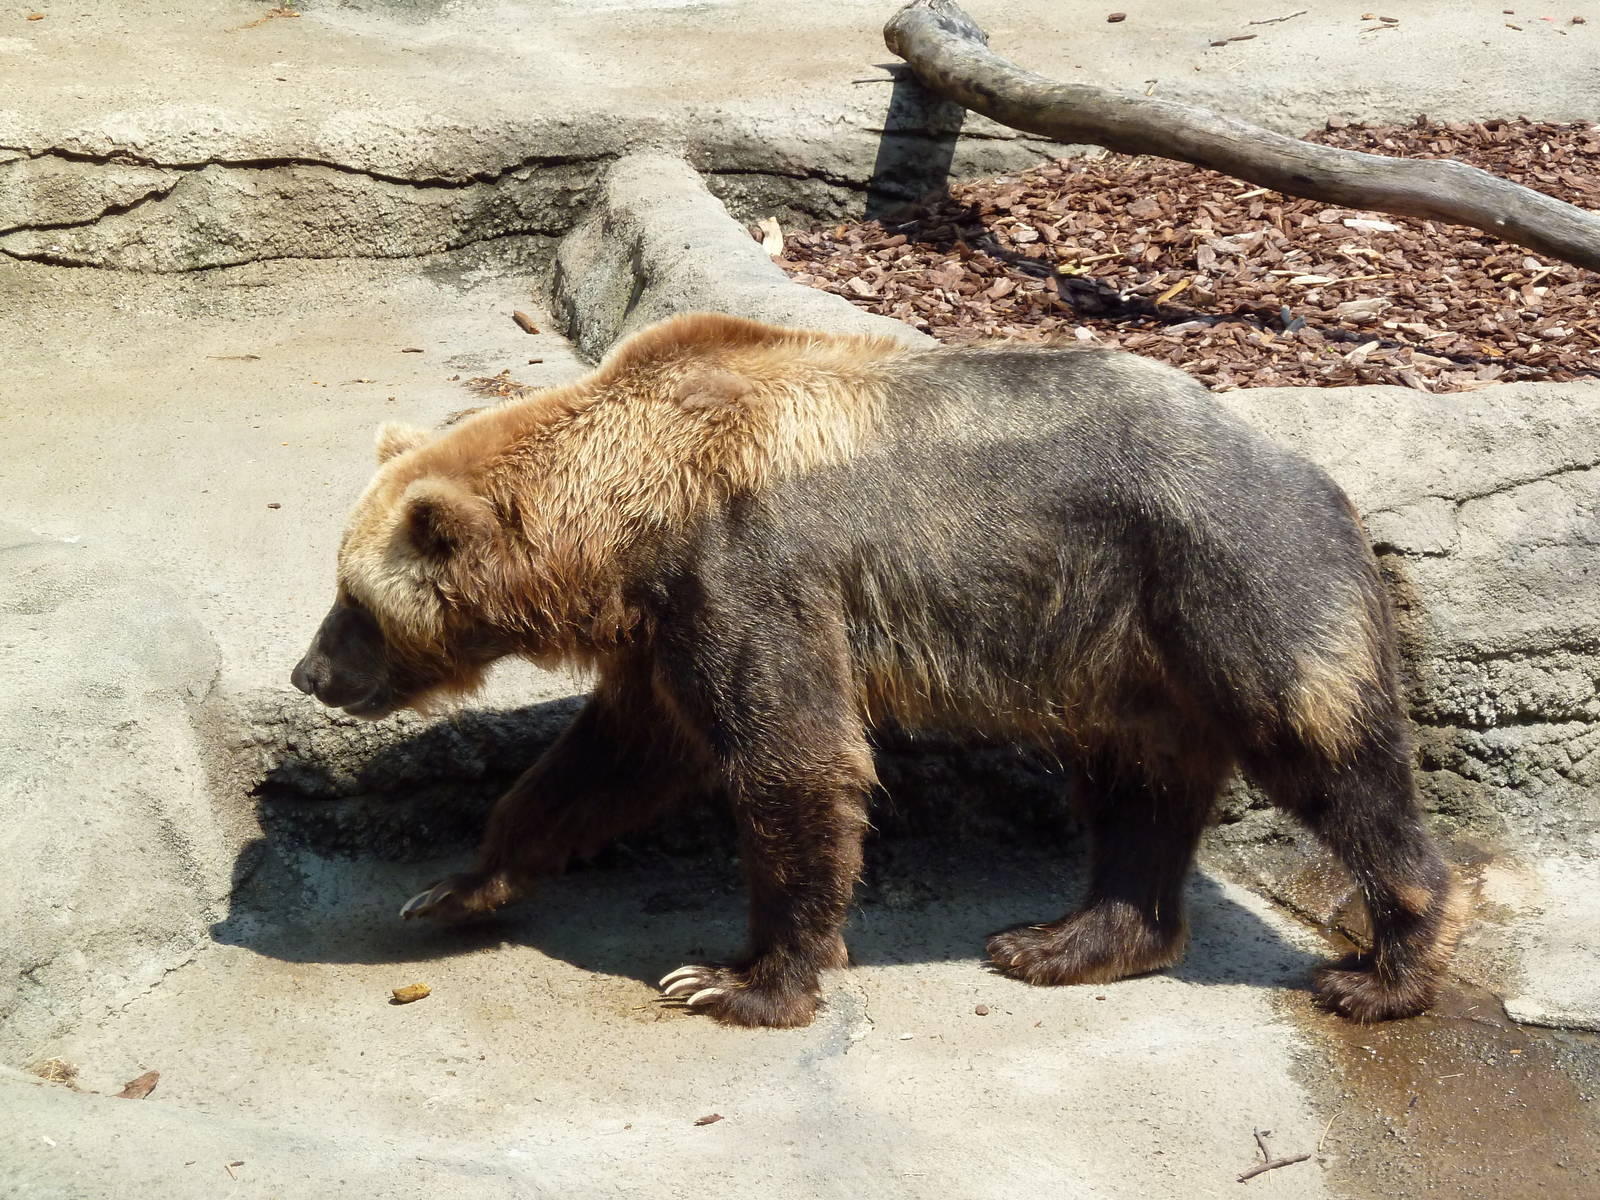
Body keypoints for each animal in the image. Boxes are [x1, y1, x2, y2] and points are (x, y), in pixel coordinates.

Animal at [290, 312, 1462, 1029]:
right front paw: (453, 886)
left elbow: (793, 761)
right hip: (1131, 657)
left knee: (1326, 752)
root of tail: (1320, 477)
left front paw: (731, 979)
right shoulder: (661, 631)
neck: (629, 518)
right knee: (1139, 789)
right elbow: (610, 762)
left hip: (1234, 583)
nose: (310, 672)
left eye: (354, 603)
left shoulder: (749, 571)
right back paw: (1064, 938)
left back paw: (1382, 967)